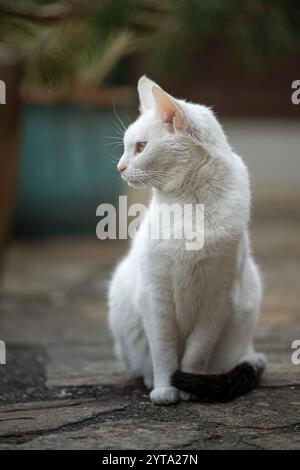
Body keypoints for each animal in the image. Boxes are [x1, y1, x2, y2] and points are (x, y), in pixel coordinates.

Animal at [108, 76, 268, 404]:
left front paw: (189, 386)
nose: (120, 167)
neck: (189, 205)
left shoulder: (218, 299)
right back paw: (149, 379)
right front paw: (165, 389)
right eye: (127, 147)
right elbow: (164, 351)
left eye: (141, 147)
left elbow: (196, 352)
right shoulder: (156, 296)